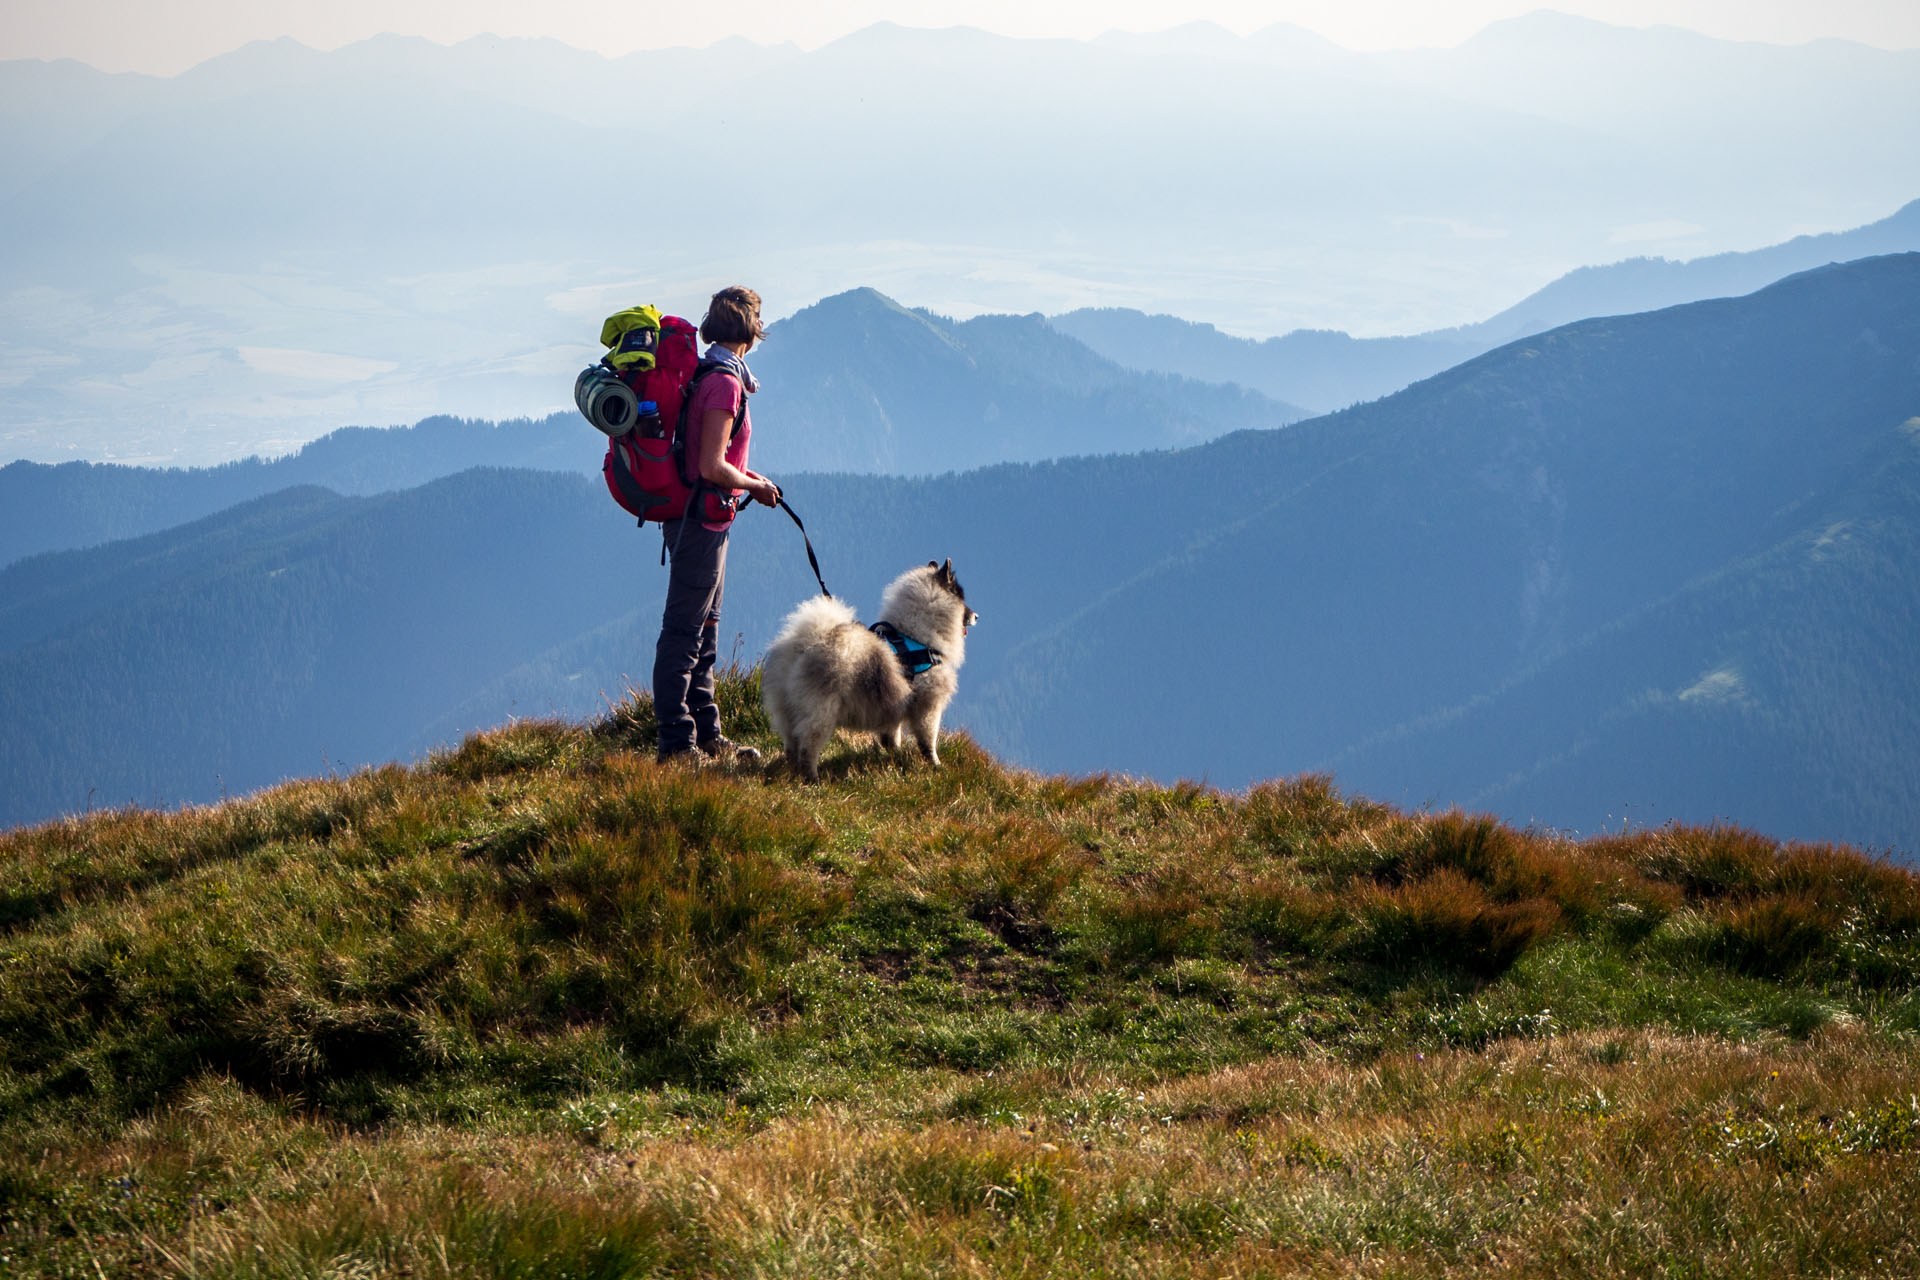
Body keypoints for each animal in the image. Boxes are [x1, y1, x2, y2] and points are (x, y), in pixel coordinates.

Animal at [760, 560, 975, 782]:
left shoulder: (896, 703)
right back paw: (813, 779)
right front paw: (935, 764)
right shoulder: (928, 705)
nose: (976, 616)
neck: (917, 637)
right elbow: (928, 740)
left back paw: (793, 771)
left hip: (787, 709)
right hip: (821, 711)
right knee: (808, 746)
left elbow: (892, 733)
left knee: (791, 744)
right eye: (961, 597)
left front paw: (894, 753)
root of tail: (804, 644)